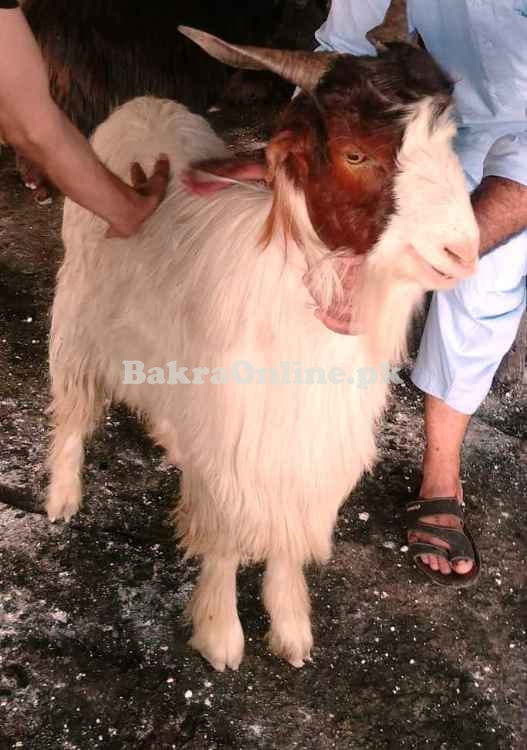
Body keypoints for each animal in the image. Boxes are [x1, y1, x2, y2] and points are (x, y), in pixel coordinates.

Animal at [47, 30, 480, 676]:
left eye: (451, 141)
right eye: (355, 155)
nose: (463, 250)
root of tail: (146, 104)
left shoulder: (308, 443)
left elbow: (290, 533)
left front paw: (291, 623)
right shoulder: (235, 442)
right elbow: (226, 535)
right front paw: (221, 633)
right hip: (79, 305)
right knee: (73, 404)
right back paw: (62, 496)